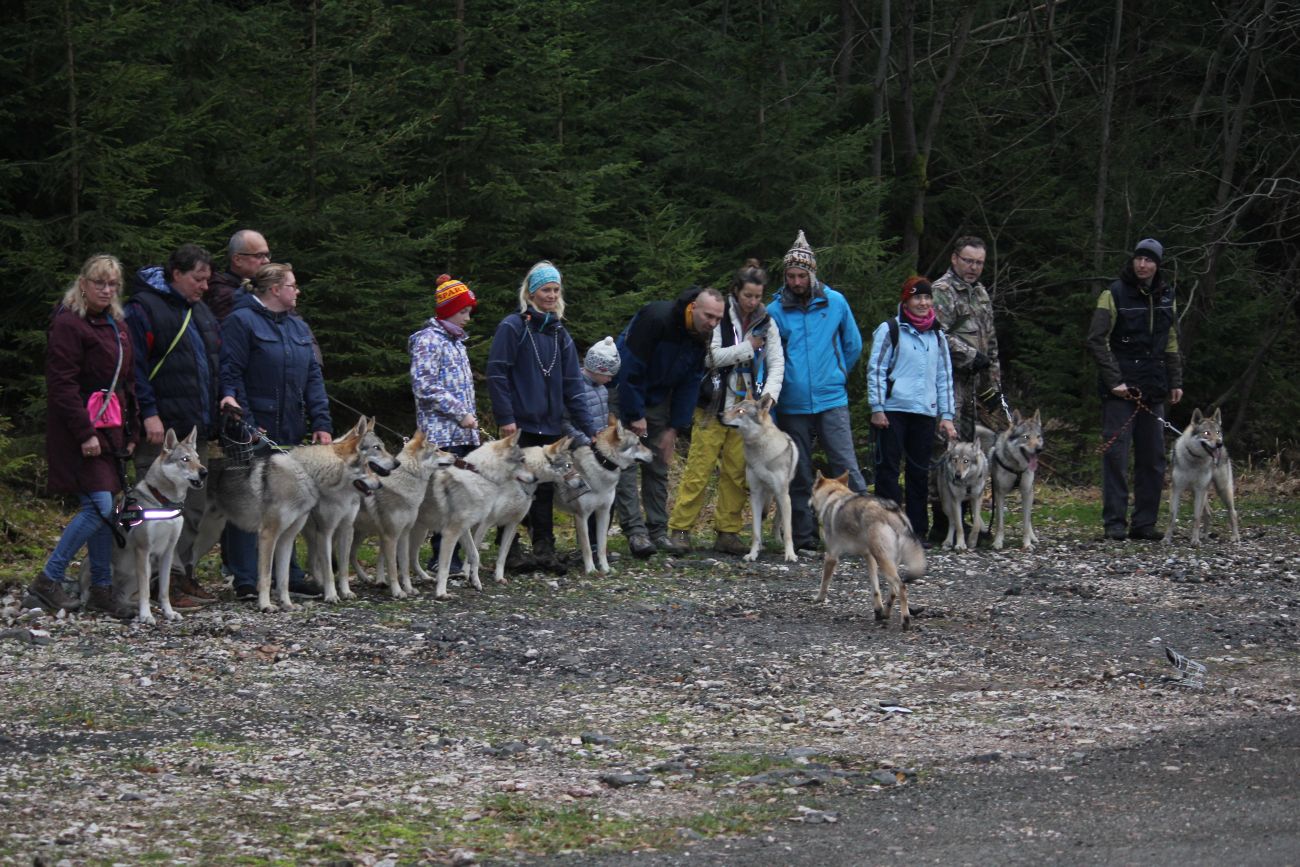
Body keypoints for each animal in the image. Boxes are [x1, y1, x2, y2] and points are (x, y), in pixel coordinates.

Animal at [81, 426, 204, 623]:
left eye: (198, 458)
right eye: (185, 459)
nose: (204, 472)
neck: (163, 502)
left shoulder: (168, 552)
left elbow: (164, 590)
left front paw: (168, 612)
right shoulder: (143, 549)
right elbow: (146, 591)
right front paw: (146, 616)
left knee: (124, 598)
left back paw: (137, 608)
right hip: (110, 567)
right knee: (93, 596)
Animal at [717, 397, 795, 566]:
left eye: (740, 411)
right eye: (732, 407)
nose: (719, 415)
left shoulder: (783, 495)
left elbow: (788, 531)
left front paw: (790, 555)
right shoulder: (755, 495)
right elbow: (756, 532)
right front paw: (753, 554)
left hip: (783, 497)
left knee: (778, 521)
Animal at [811, 475, 925, 631]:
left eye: (811, 492)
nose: (808, 504)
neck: (833, 494)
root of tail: (894, 512)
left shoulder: (831, 556)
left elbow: (824, 583)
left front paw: (818, 599)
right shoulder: (868, 556)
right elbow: (875, 589)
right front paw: (878, 610)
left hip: (883, 561)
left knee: (901, 587)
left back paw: (905, 620)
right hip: (887, 562)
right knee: (893, 591)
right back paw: (886, 614)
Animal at [982, 413, 1045, 548]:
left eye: (1038, 437)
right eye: (1026, 437)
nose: (1039, 449)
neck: (1017, 467)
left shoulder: (1026, 492)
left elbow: (1026, 523)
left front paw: (1027, 544)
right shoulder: (999, 493)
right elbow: (1000, 523)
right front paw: (997, 542)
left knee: (1029, 519)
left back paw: (1033, 537)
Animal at [1164, 408, 1242, 545]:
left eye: (1217, 432)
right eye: (1206, 433)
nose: (1219, 443)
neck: (1194, 460)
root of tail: (1225, 449)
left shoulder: (1200, 490)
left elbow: (1196, 518)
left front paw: (1195, 540)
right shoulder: (1177, 489)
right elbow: (1172, 517)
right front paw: (1167, 539)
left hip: (1221, 490)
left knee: (1232, 512)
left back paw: (1235, 536)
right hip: (1197, 492)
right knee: (1209, 512)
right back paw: (1205, 535)